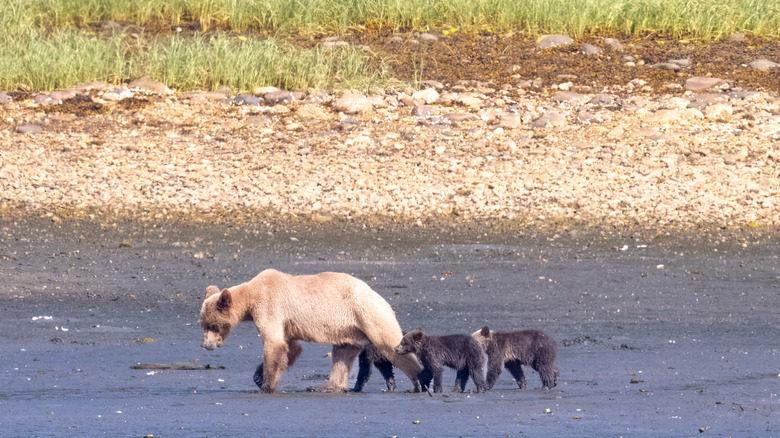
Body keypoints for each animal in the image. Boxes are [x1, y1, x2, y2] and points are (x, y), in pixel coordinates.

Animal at [199, 269, 424, 393]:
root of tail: (382, 298)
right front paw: (259, 377)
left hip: (368, 315)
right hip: (351, 329)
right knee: (342, 355)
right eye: (202, 323)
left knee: (390, 344)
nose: (206, 344)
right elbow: (290, 347)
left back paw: (419, 380)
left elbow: (274, 344)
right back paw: (325, 386)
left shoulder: (270, 306)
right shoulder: (284, 322)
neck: (251, 296)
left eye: (212, 324)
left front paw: (266, 385)